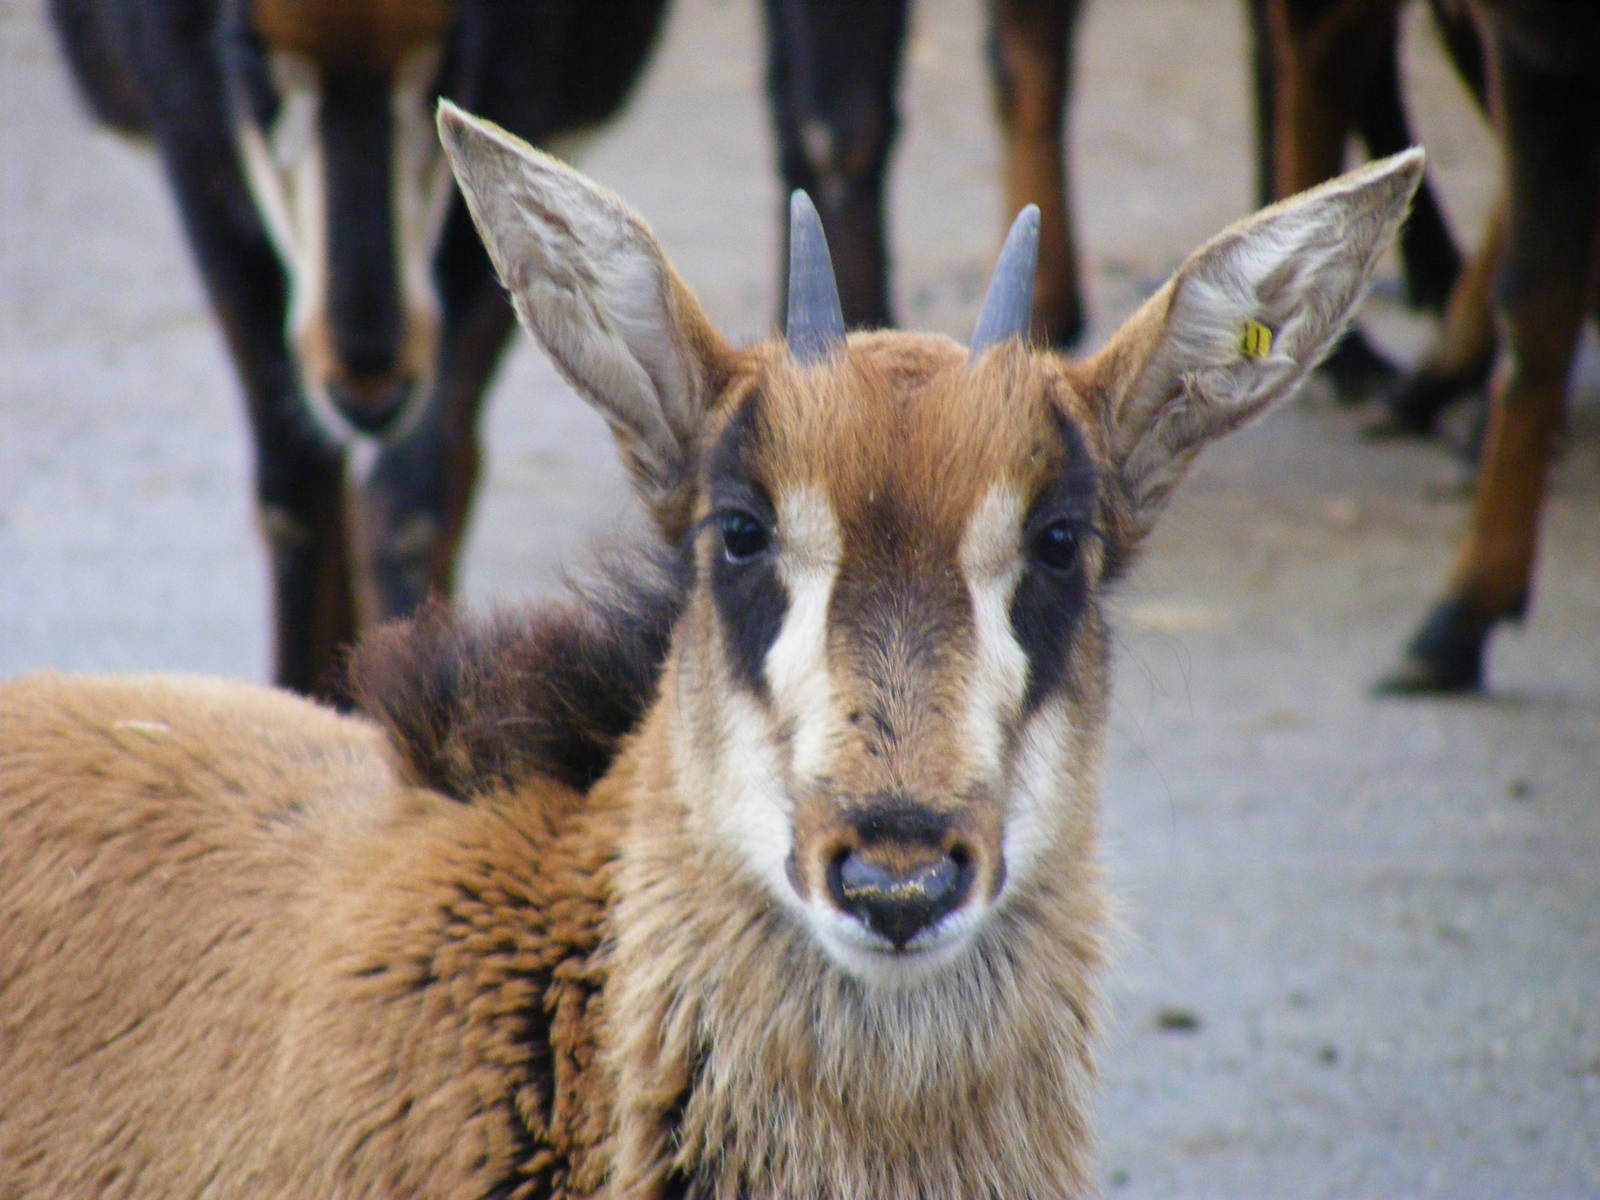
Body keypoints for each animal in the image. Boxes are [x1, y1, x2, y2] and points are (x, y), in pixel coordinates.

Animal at [45, 0, 669, 699]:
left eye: (453, 40)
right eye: (247, 48)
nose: (369, 392)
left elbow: (408, 501)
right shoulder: (195, 157)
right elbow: (297, 492)